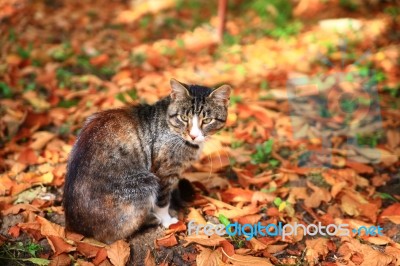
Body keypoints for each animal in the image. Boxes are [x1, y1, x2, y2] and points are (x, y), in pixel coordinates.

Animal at [63, 78, 231, 244]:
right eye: (183, 118)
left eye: (207, 120)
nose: (194, 135)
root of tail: (76, 227)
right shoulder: (164, 172)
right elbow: (162, 200)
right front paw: (167, 220)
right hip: (145, 182)